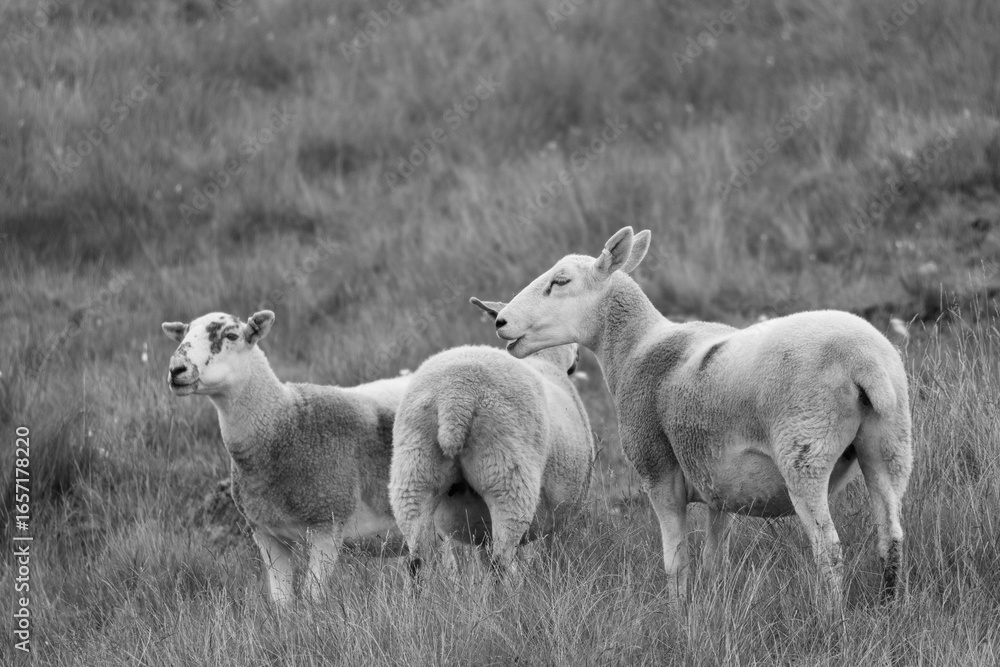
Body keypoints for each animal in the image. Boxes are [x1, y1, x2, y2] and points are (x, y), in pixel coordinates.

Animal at [161, 310, 409, 606]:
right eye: (184, 335)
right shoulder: (267, 533)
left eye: (231, 335)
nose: (177, 370)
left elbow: (312, 596)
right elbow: (282, 601)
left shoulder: (328, 522)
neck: (286, 423)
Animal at [389, 298, 595, 579]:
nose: (578, 359)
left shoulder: (480, 532)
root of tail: (454, 397)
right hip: (506, 475)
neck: (546, 361)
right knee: (502, 560)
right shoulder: (565, 512)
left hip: (414, 472)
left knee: (417, 562)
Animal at [485, 227, 913, 612]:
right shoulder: (717, 482)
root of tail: (863, 360)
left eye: (561, 281)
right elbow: (713, 560)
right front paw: (711, 607)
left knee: (829, 549)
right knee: (890, 536)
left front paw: (679, 615)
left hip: (805, 451)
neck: (636, 347)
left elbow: (676, 562)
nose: (500, 321)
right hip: (890, 443)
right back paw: (889, 609)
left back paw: (831, 619)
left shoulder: (659, 470)